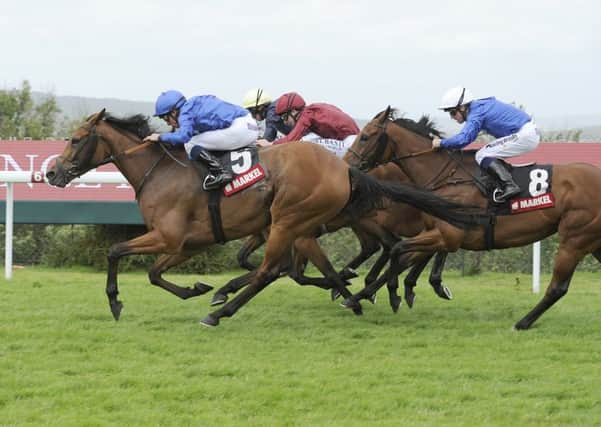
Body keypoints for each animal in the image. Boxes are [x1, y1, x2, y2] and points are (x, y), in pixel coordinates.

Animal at [45, 108, 482, 326]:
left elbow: (115, 251)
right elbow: (155, 273)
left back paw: (221, 314)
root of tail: (345, 169)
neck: (161, 171)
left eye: (76, 139)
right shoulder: (186, 243)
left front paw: (115, 302)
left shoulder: (168, 237)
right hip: (301, 224)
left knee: (275, 270)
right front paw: (199, 288)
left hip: (292, 218)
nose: (51, 172)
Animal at [340, 108, 600, 332]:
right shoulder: (436, 233)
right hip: (592, 242)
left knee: (557, 288)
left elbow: (397, 250)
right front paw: (356, 297)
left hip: (575, 239)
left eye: (365, 137)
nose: (346, 166)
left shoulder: (447, 236)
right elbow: (402, 257)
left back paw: (522, 323)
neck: (447, 177)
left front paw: (394, 295)